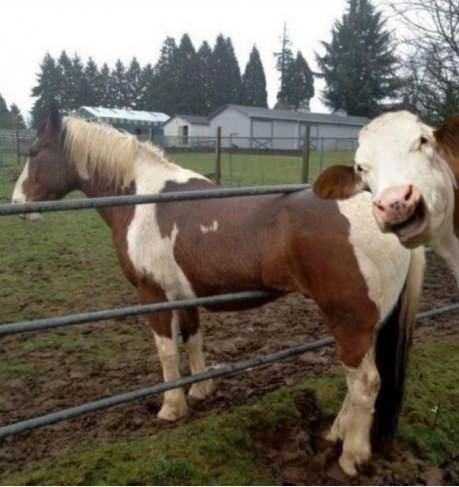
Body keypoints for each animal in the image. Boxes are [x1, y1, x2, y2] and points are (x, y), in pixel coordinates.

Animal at [12, 107, 426, 476]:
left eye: (34, 151)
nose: (17, 204)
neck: (142, 199)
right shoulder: (186, 294)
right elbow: (193, 340)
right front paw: (200, 391)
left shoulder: (152, 295)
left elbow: (166, 351)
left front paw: (172, 407)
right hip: (367, 323)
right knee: (357, 382)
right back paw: (336, 433)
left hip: (350, 320)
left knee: (366, 382)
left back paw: (352, 456)